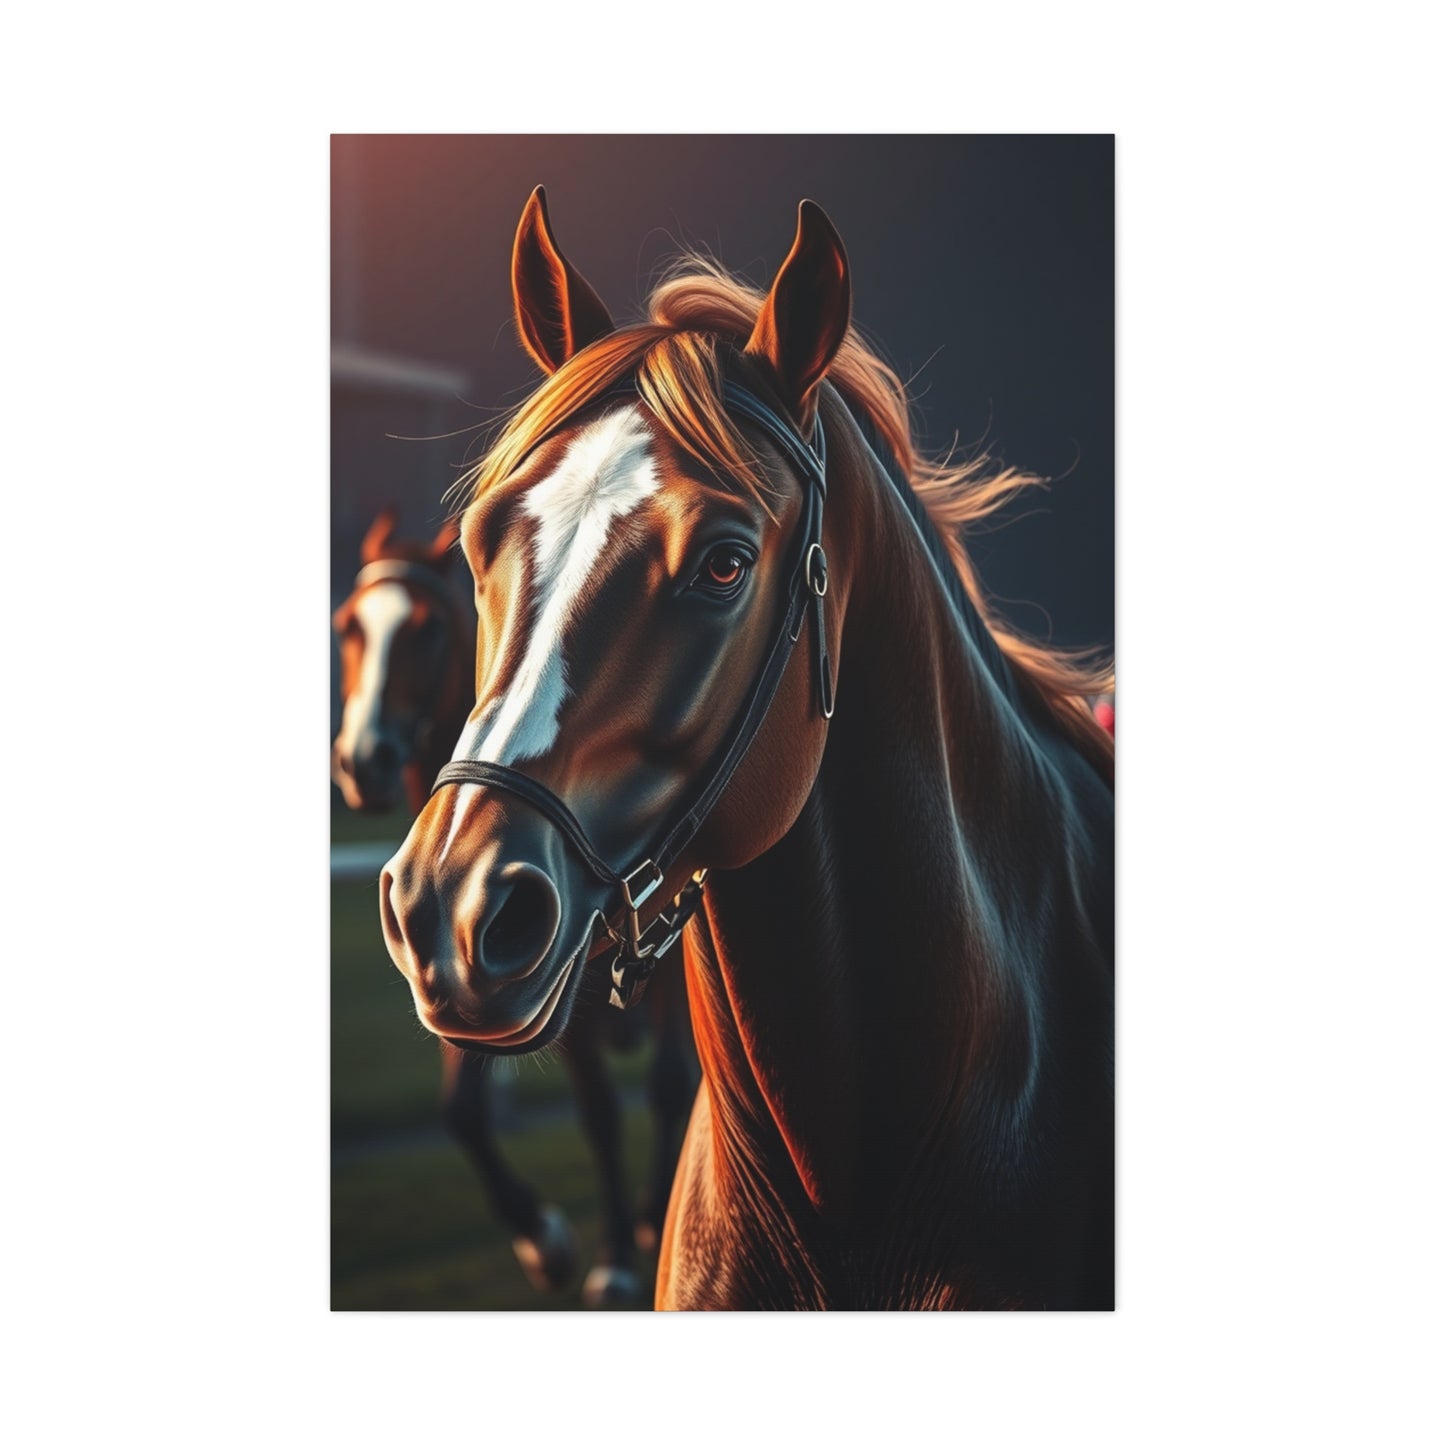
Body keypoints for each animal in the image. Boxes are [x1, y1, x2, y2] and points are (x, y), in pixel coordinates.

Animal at [332, 506, 697, 1304]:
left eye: (427, 628)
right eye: (349, 625)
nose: (364, 762)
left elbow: (665, 1086)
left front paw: (639, 1234)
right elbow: (480, 1112)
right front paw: (556, 1244)